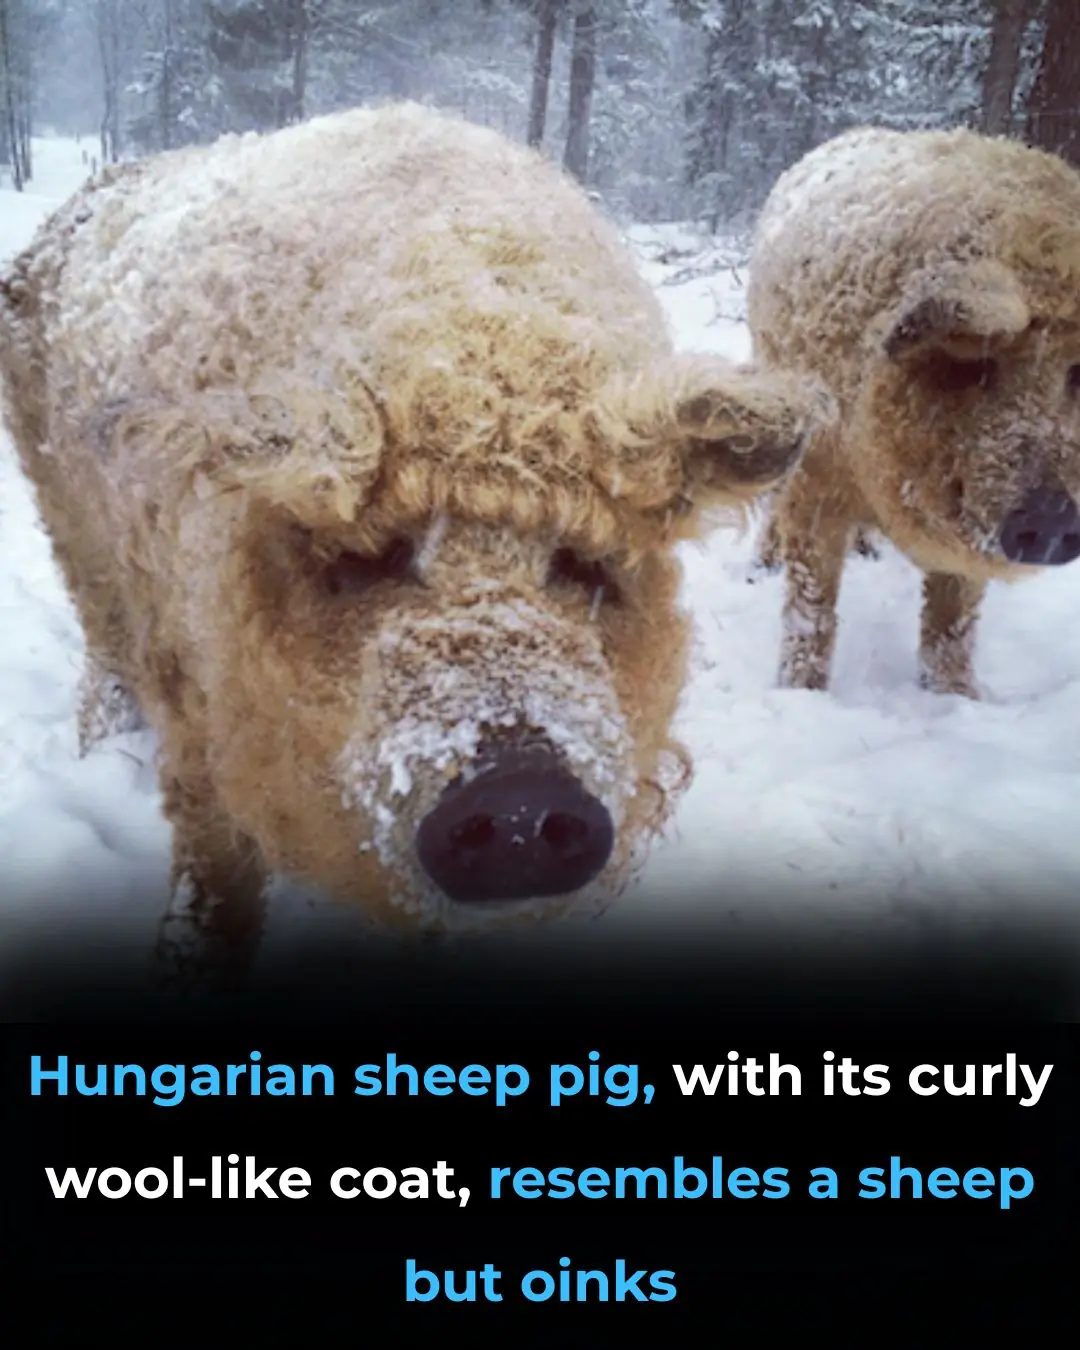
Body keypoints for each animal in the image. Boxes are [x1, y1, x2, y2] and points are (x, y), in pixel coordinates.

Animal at [0, 102, 827, 988]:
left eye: (582, 562)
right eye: (374, 557)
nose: (517, 796)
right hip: (68, 521)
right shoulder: (195, 699)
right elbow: (214, 865)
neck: (464, 343)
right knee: (102, 636)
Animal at [746, 126, 1080, 697]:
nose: (1054, 520)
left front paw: (957, 698)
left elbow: (953, 618)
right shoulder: (821, 470)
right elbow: (812, 601)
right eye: (981, 364)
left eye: (1079, 373)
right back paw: (761, 567)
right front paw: (799, 692)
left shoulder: (968, 535)